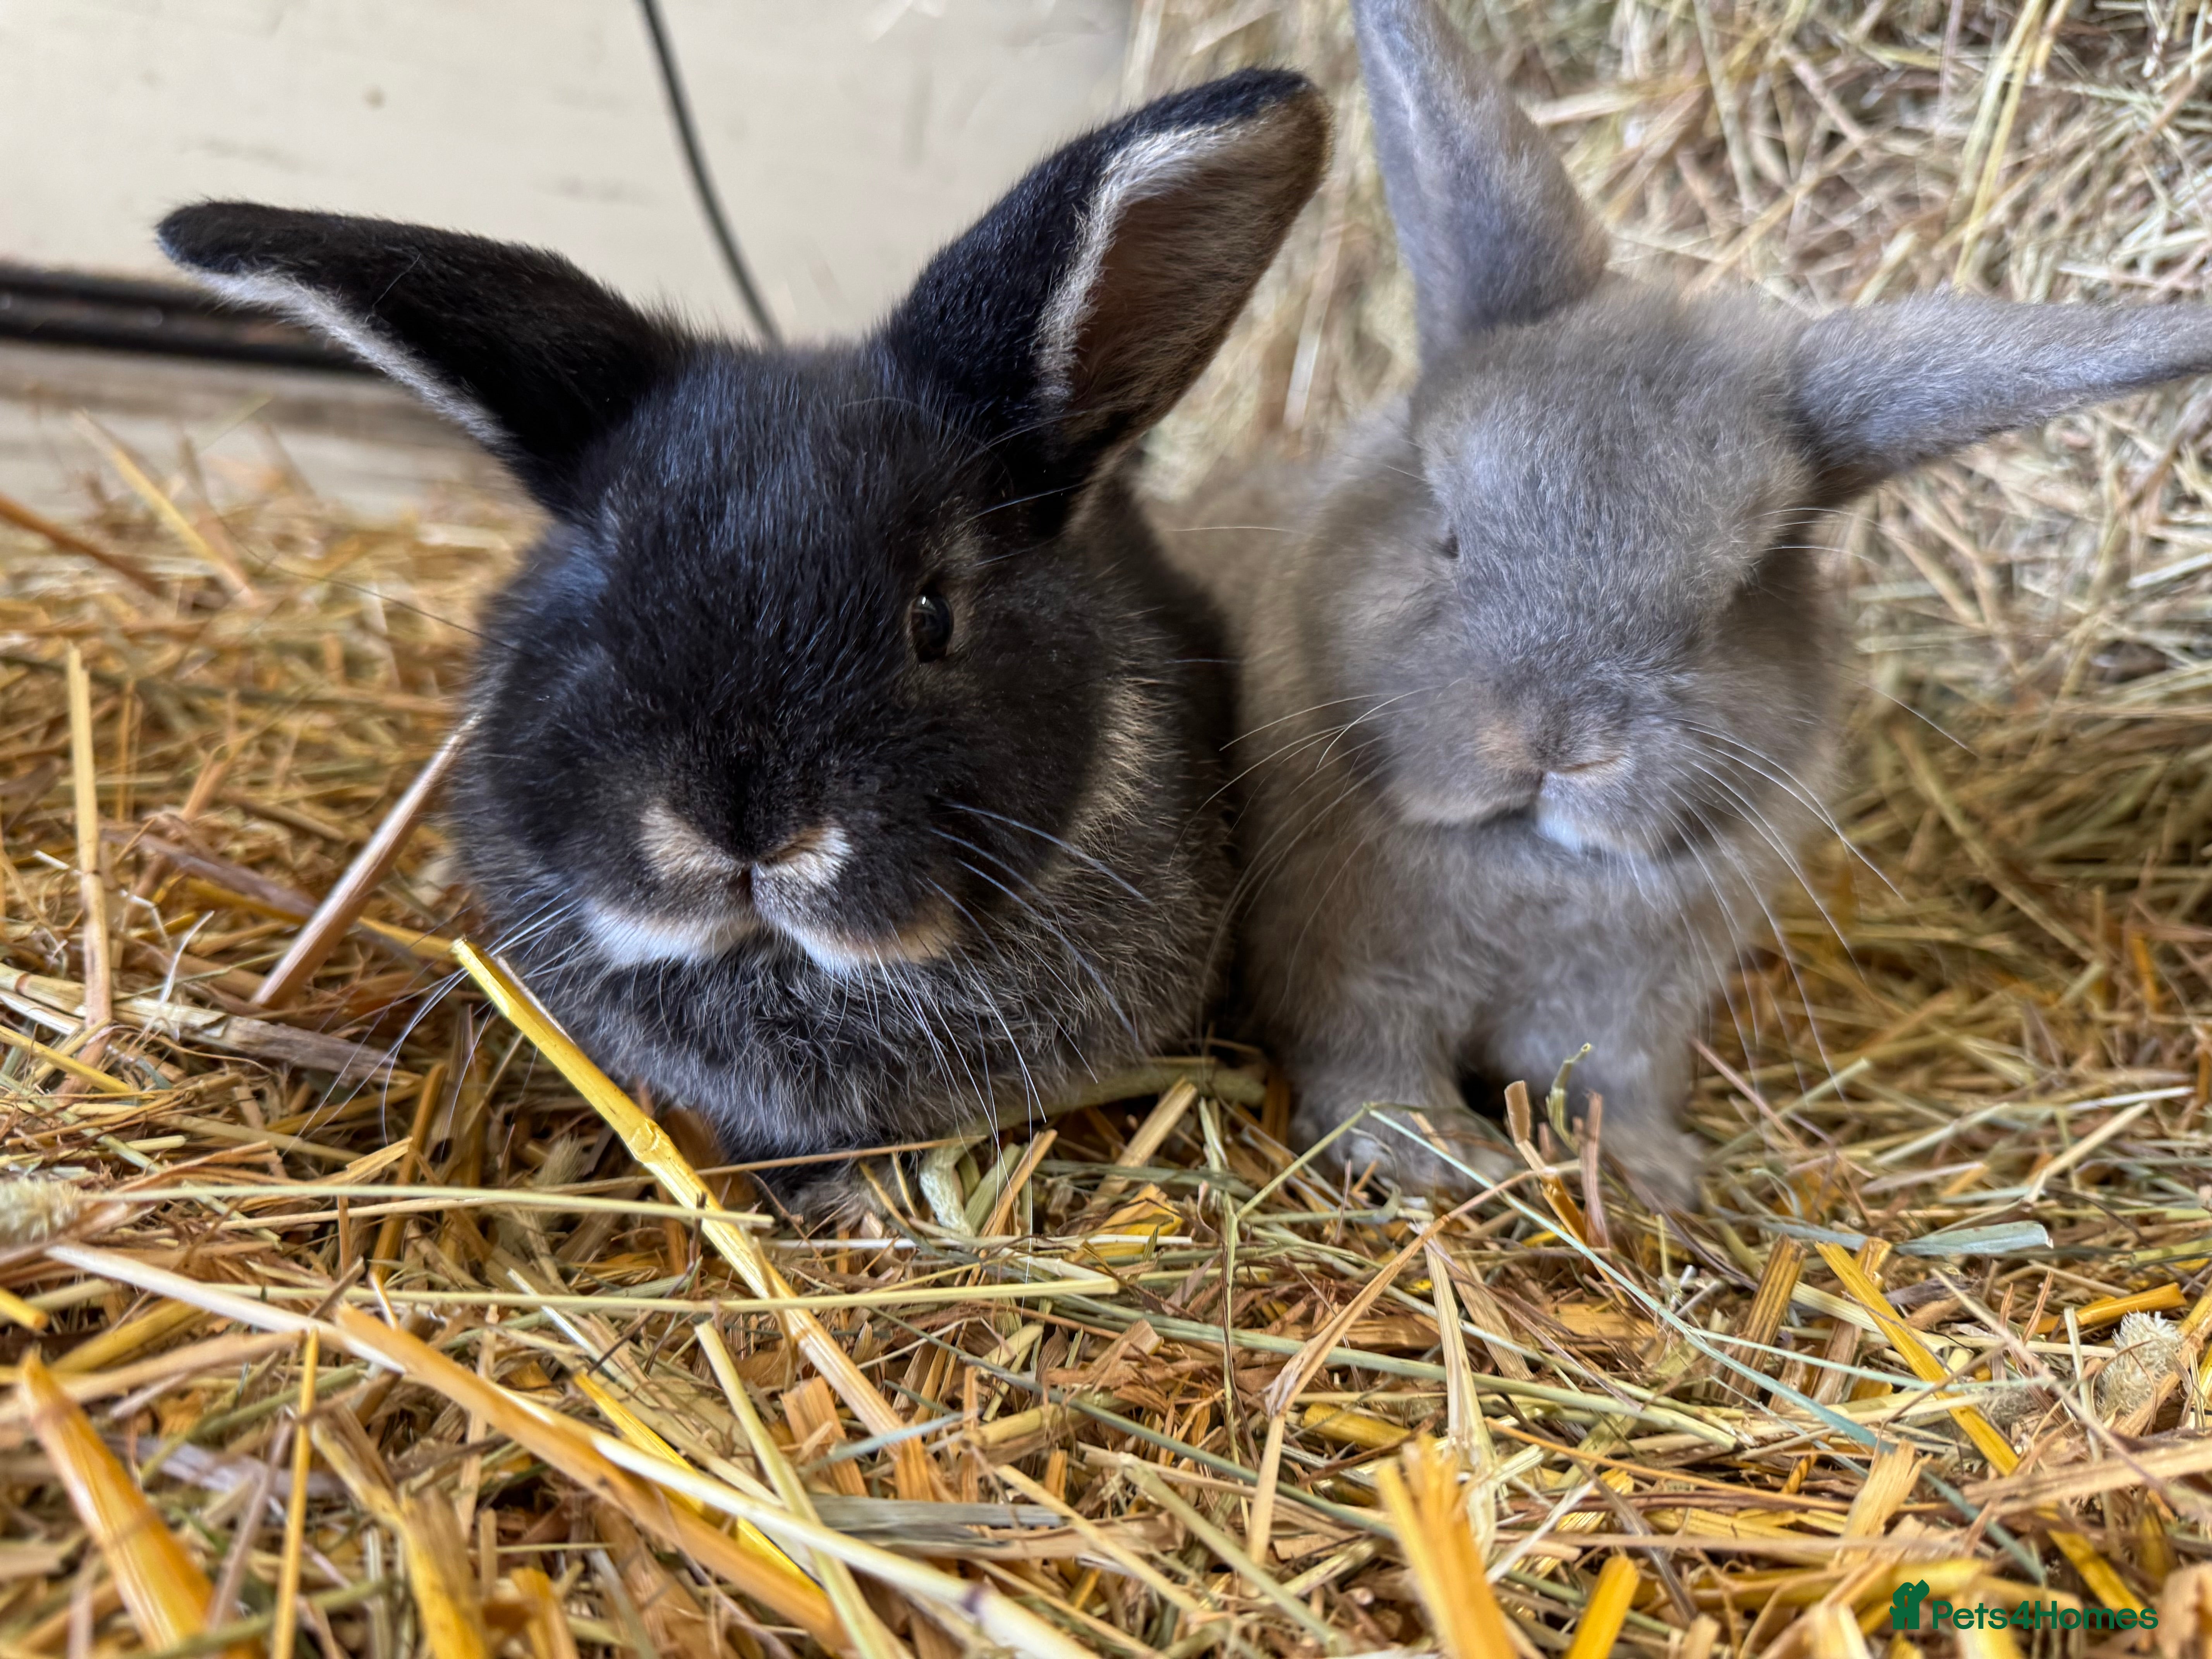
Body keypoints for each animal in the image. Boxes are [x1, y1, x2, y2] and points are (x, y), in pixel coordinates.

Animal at [1169, 0, 2212, 1209]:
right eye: (1450, 532)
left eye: (1733, 595)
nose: (1558, 740)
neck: (1532, 865)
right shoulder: (1354, 974)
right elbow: (1371, 1068)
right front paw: (1439, 1157)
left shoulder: (1628, 1014)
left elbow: (1604, 1084)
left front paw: (1655, 1175)